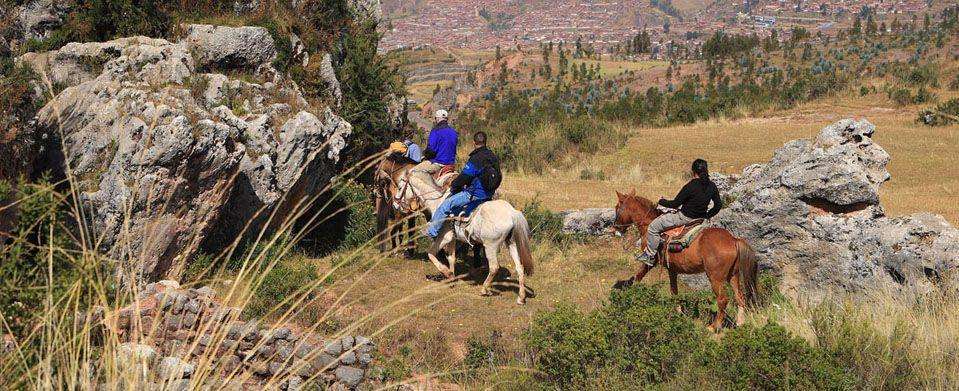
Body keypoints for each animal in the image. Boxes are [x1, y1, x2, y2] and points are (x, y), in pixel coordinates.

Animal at [396, 175, 536, 306]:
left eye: (400, 187)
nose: (395, 204)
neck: (437, 202)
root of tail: (512, 213)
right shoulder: (452, 238)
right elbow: (451, 258)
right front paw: (451, 277)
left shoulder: (444, 237)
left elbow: (431, 254)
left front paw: (446, 273)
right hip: (511, 244)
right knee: (519, 268)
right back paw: (521, 297)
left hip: (490, 246)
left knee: (494, 267)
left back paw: (484, 289)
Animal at [616, 190, 756, 330]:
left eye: (617, 207)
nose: (616, 228)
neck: (648, 223)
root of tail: (733, 240)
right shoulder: (672, 270)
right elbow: (674, 292)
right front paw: (678, 312)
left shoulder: (650, 262)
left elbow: (638, 277)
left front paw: (631, 292)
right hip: (733, 275)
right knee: (740, 297)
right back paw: (740, 322)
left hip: (716, 278)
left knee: (722, 299)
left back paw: (713, 326)